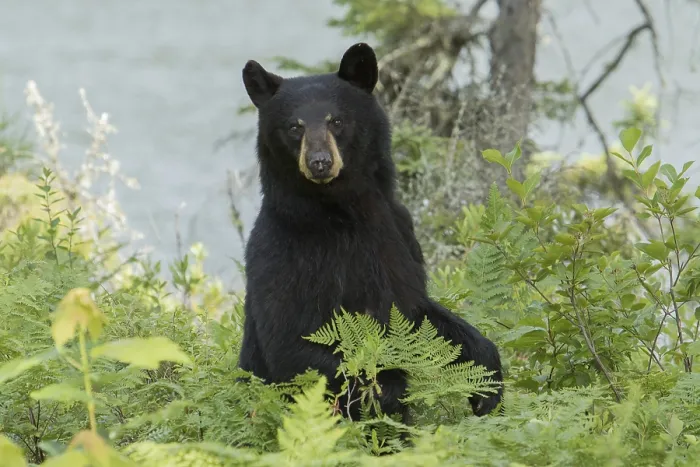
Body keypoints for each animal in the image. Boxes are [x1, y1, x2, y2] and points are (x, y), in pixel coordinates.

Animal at [238, 42, 503, 422]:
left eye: (336, 121)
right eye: (294, 127)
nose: (320, 162)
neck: (344, 215)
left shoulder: (399, 236)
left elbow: (418, 310)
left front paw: (487, 385)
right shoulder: (284, 254)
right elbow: (292, 342)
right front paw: (391, 391)